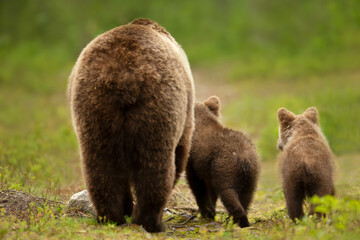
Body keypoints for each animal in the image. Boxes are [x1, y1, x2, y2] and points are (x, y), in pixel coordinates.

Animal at [67, 18, 194, 232]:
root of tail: (124, 76)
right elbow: (181, 151)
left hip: (94, 107)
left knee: (100, 166)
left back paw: (110, 216)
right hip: (158, 107)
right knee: (155, 165)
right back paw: (150, 221)